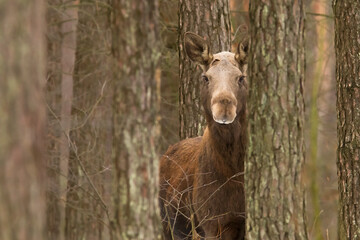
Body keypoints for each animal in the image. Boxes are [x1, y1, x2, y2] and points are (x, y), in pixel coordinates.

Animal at [159, 32, 249, 240]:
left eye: (241, 78)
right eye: (206, 78)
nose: (224, 108)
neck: (233, 172)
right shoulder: (211, 222)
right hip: (168, 224)